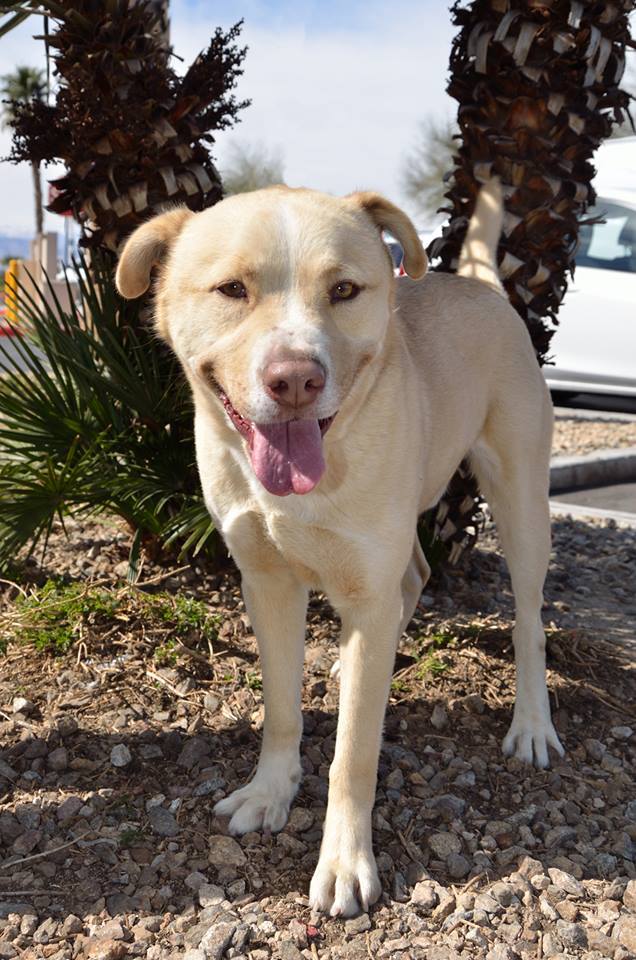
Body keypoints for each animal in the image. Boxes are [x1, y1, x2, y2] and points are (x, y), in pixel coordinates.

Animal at [117, 180, 564, 916]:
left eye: (345, 290)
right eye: (232, 289)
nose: (295, 379)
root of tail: (479, 286)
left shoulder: (364, 580)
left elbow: (355, 751)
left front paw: (345, 861)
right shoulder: (266, 583)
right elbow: (280, 710)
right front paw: (270, 791)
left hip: (521, 497)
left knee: (527, 618)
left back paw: (531, 723)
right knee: (411, 578)